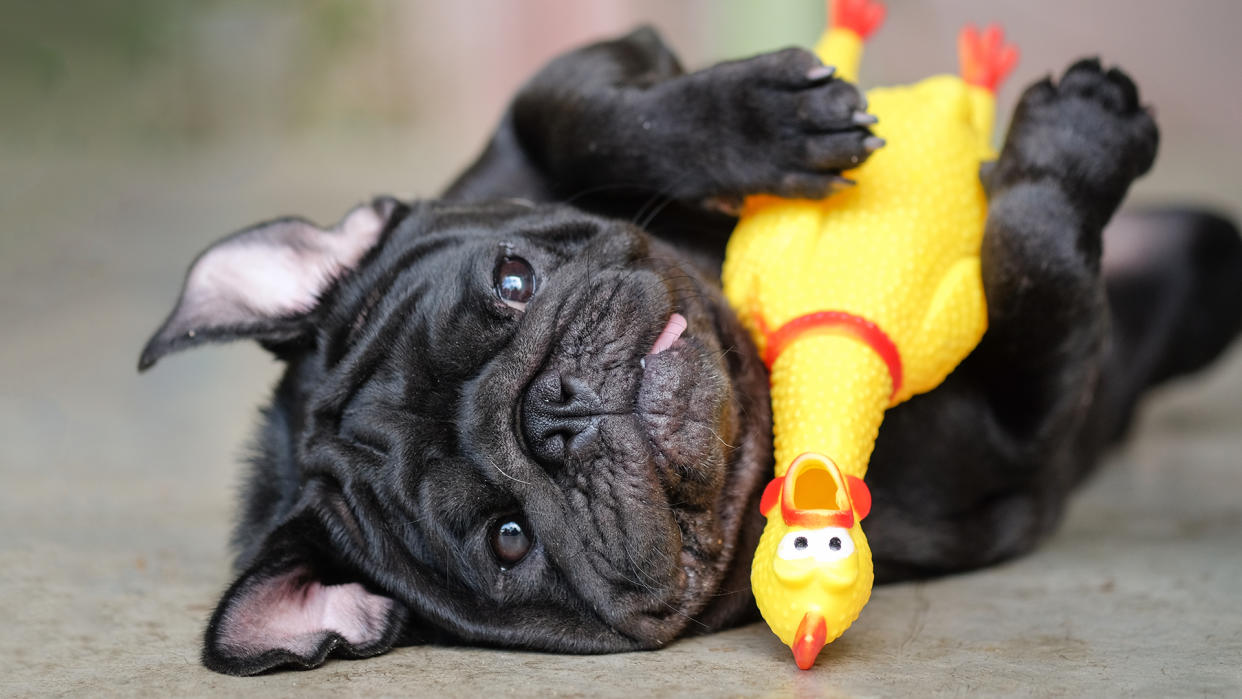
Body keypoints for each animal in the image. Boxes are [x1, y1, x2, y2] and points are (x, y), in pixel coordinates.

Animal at [138, 28, 1242, 680]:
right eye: (507, 539)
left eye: (513, 282)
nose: (556, 410)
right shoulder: (1025, 429)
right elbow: (1039, 269)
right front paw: (1073, 150)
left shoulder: (549, 103)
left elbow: (581, 110)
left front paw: (767, 118)